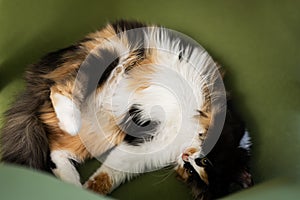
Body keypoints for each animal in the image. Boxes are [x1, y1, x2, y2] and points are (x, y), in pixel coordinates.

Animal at [0, 19, 253, 198]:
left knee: (56, 150)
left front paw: (89, 192)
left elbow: (109, 174)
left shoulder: (143, 149)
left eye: (192, 171)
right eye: (203, 162)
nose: (185, 157)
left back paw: (71, 183)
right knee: (63, 88)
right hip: (112, 53)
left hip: (102, 130)